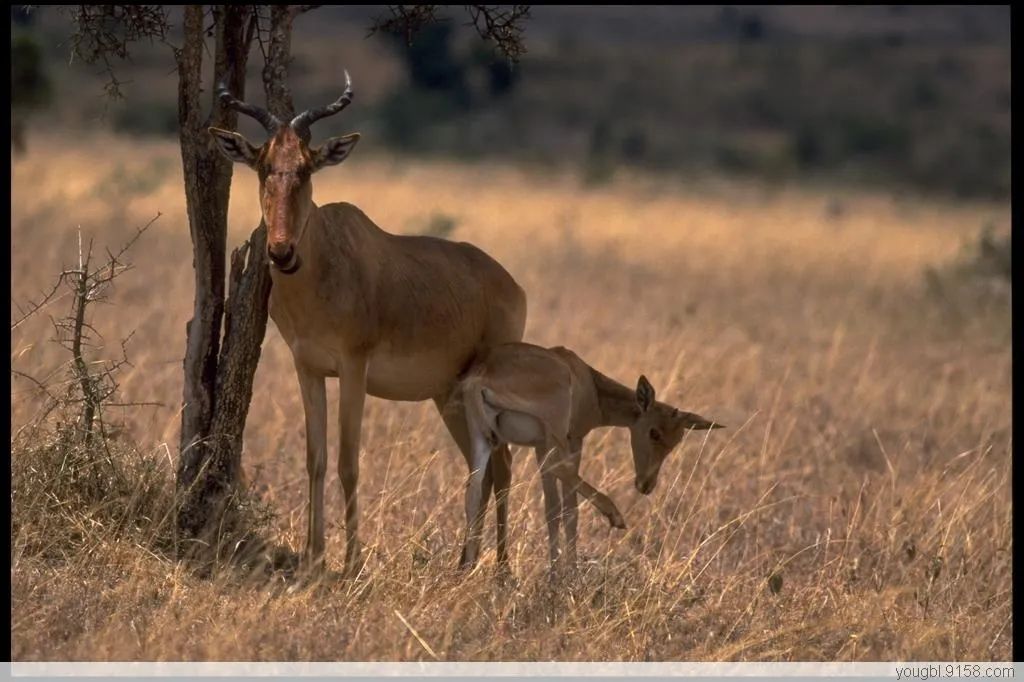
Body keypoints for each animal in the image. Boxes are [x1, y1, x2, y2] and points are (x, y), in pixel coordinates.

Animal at [444, 339, 724, 569]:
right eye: (654, 432)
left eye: (677, 440)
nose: (646, 484)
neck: (587, 380)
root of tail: (483, 372)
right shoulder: (572, 439)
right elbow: (569, 509)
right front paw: (566, 573)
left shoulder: (539, 443)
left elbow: (552, 508)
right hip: (554, 426)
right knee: (555, 467)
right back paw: (615, 515)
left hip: (483, 437)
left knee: (473, 492)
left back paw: (466, 569)